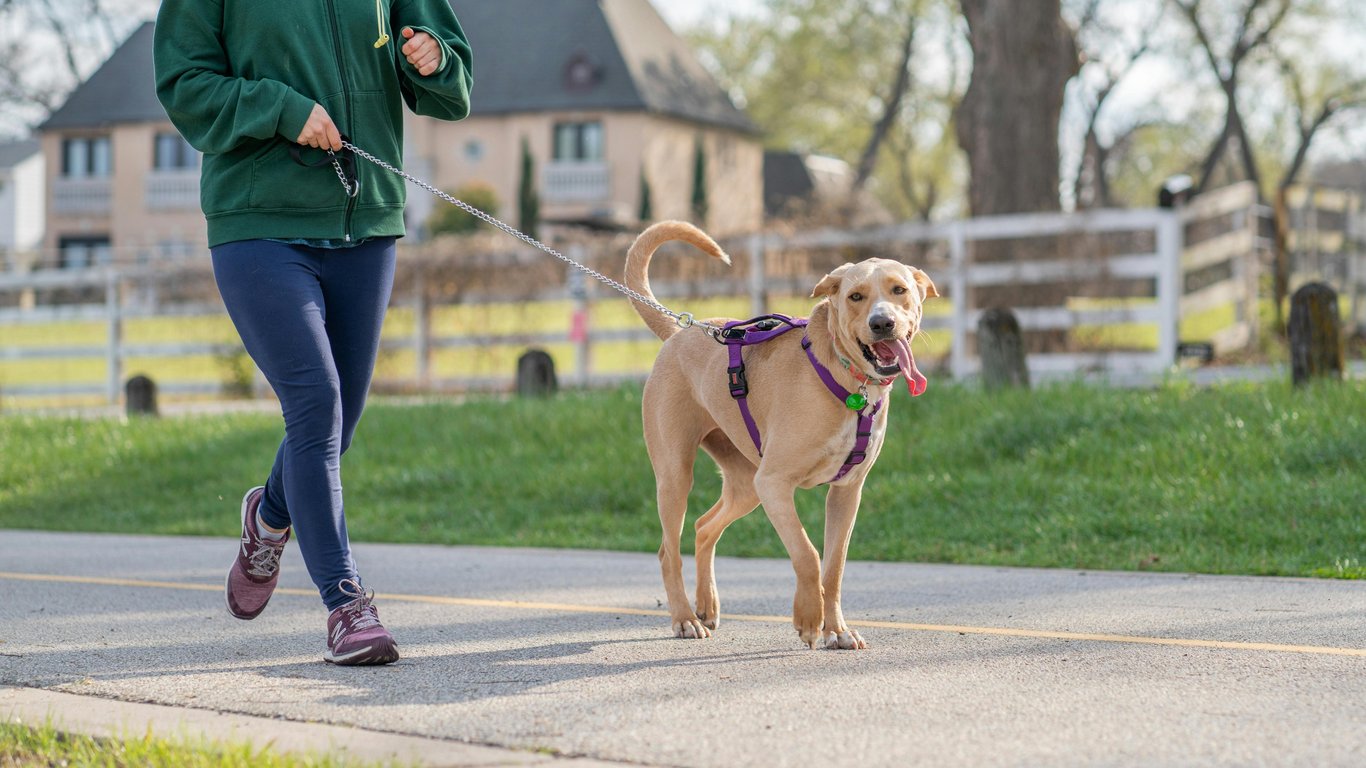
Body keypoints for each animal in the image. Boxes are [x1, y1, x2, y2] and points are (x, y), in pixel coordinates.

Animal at [628, 218, 939, 647]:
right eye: (856, 296)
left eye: (899, 290)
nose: (882, 323)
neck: (848, 380)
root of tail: (681, 330)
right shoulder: (774, 484)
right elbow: (807, 554)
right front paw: (809, 619)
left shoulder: (846, 493)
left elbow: (834, 567)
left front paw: (837, 630)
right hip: (678, 476)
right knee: (666, 551)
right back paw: (685, 618)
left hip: (745, 485)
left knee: (704, 527)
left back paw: (707, 605)